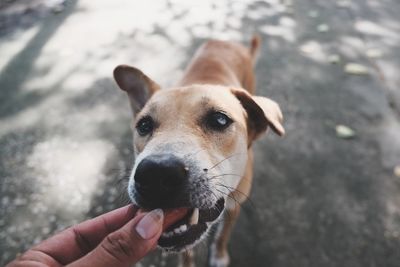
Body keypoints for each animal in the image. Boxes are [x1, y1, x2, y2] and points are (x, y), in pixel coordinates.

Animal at [112, 36, 284, 267]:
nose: (156, 173)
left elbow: (223, 235)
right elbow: (186, 251)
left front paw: (219, 254)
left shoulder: (234, 206)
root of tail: (226, 42)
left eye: (220, 120)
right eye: (144, 125)